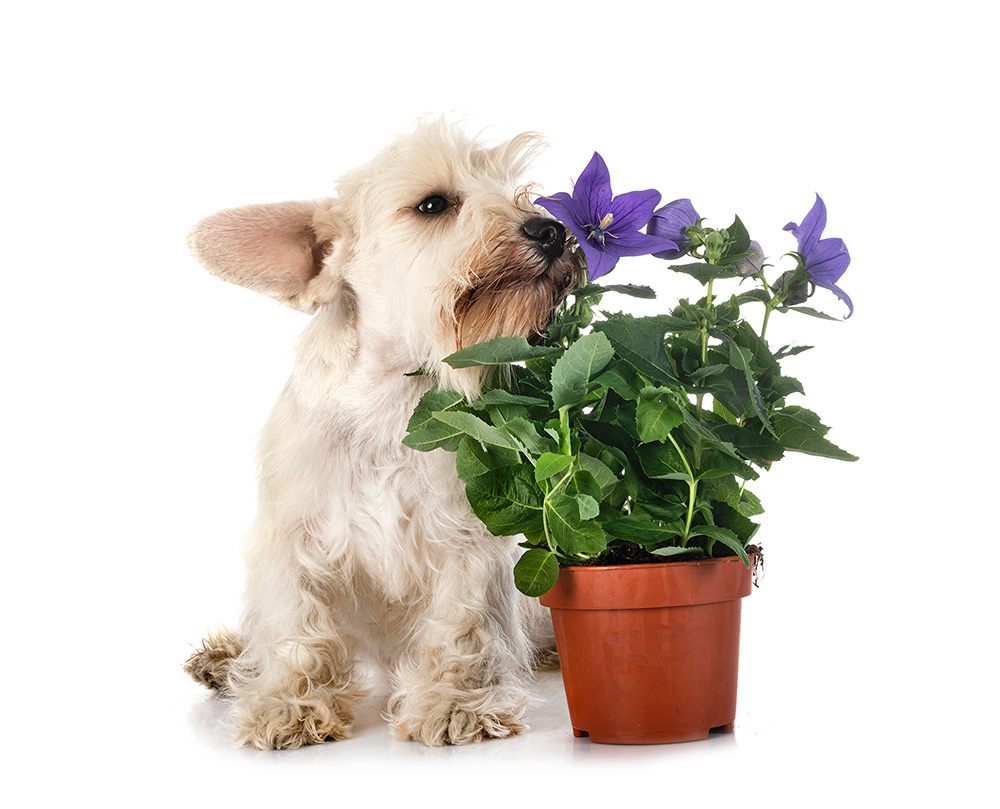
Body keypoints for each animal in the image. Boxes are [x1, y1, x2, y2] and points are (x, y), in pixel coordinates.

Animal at [184, 121, 584, 752]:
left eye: (510, 186)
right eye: (433, 205)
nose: (552, 230)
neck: (390, 406)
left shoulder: (466, 541)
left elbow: (463, 627)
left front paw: (457, 704)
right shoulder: (293, 536)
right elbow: (295, 628)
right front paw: (289, 704)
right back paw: (225, 661)